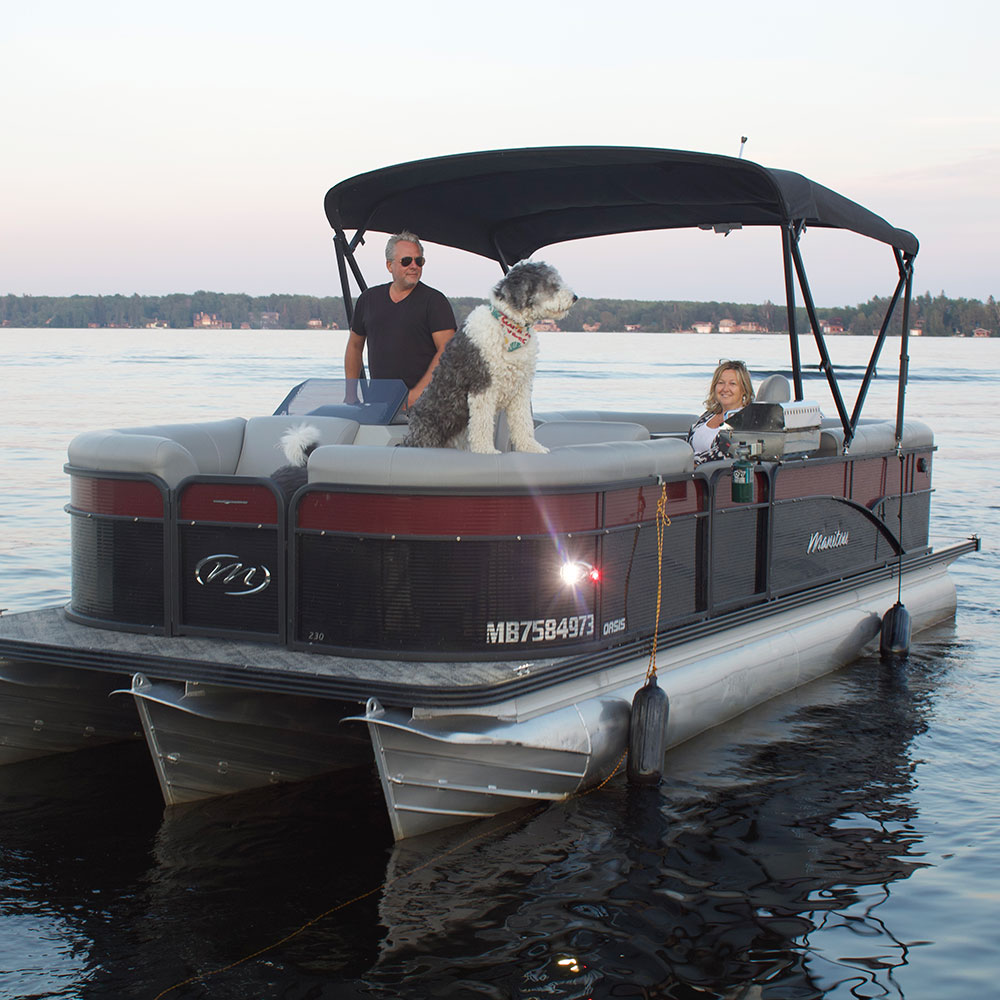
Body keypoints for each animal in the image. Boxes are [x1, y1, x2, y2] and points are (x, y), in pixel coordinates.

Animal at [400, 264, 576, 456]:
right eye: (551, 284)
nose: (575, 297)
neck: (510, 328)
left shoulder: (521, 389)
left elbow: (524, 422)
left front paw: (531, 447)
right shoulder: (483, 385)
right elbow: (482, 423)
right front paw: (486, 450)